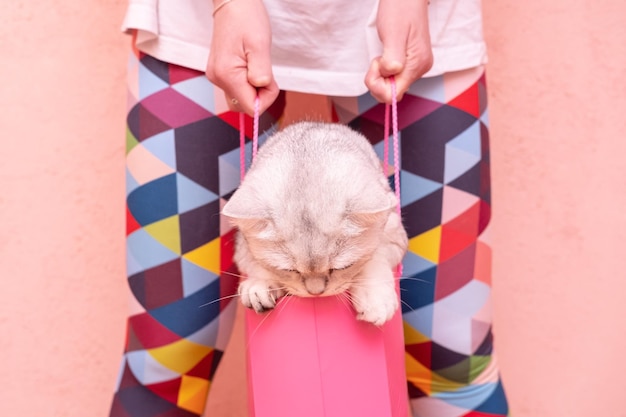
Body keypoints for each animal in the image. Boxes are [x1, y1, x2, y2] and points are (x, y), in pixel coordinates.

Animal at [222, 120, 408, 324]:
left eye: (342, 267)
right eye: (289, 270)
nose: (316, 292)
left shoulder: (394, 233)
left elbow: (375, 257)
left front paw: (375, 298)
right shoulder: (242, 247)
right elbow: (256, 264)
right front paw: (259, 284)